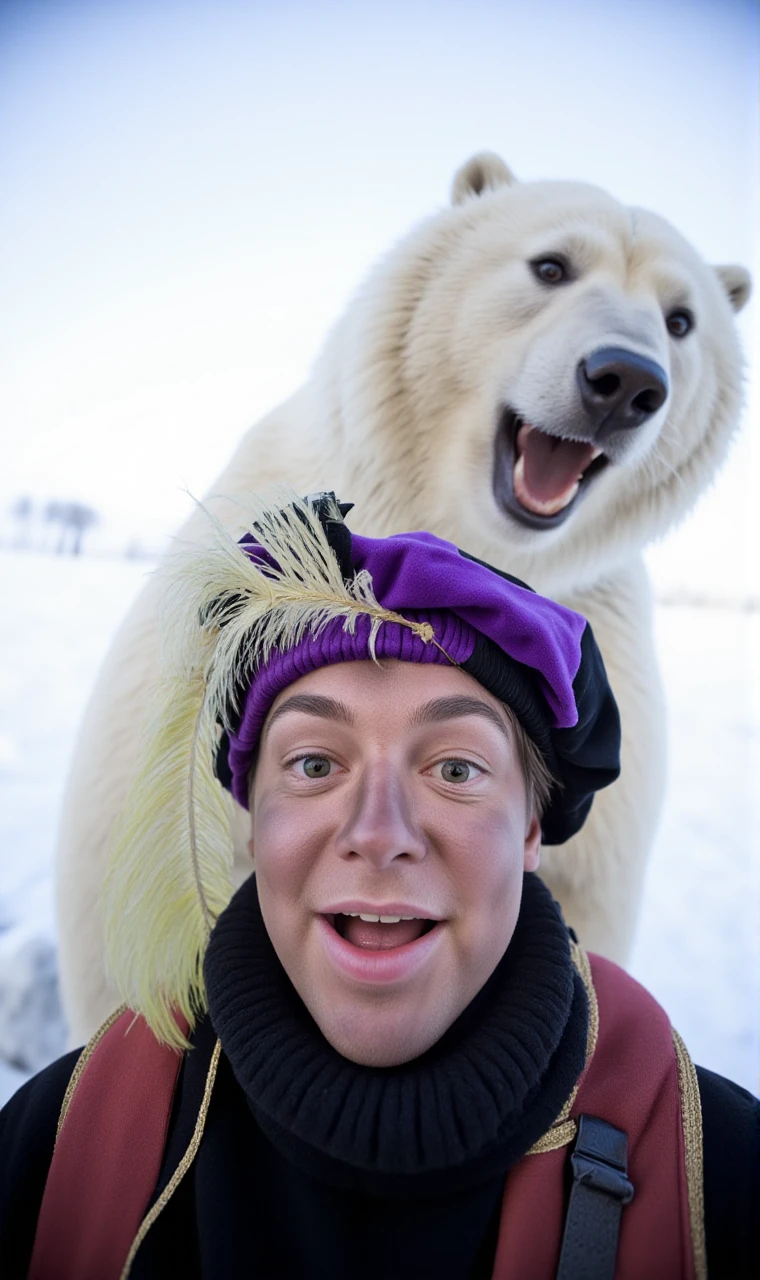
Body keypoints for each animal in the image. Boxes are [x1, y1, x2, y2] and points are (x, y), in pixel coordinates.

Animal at [56, 154, 747, 1044]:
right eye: (551, 265)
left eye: (682, 319)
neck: (469, 539)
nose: (626, 379)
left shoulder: (607, 642)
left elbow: (585, 884)